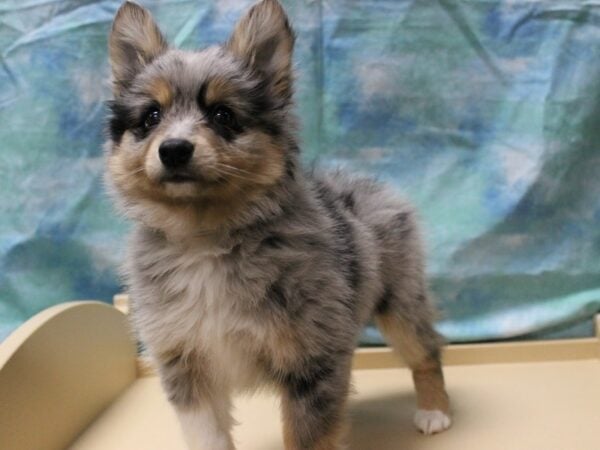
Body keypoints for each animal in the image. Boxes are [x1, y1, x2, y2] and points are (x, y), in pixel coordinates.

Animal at [105, 0, 450, 450]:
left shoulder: (312, 361)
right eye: (151, 116)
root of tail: (370, 185)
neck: (205, 236)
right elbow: (208, 436)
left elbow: (307, 438)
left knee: (427, 351)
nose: (174, 149)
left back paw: (434, 411)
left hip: (401, 302)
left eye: (223, 114)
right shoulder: (185, 363)